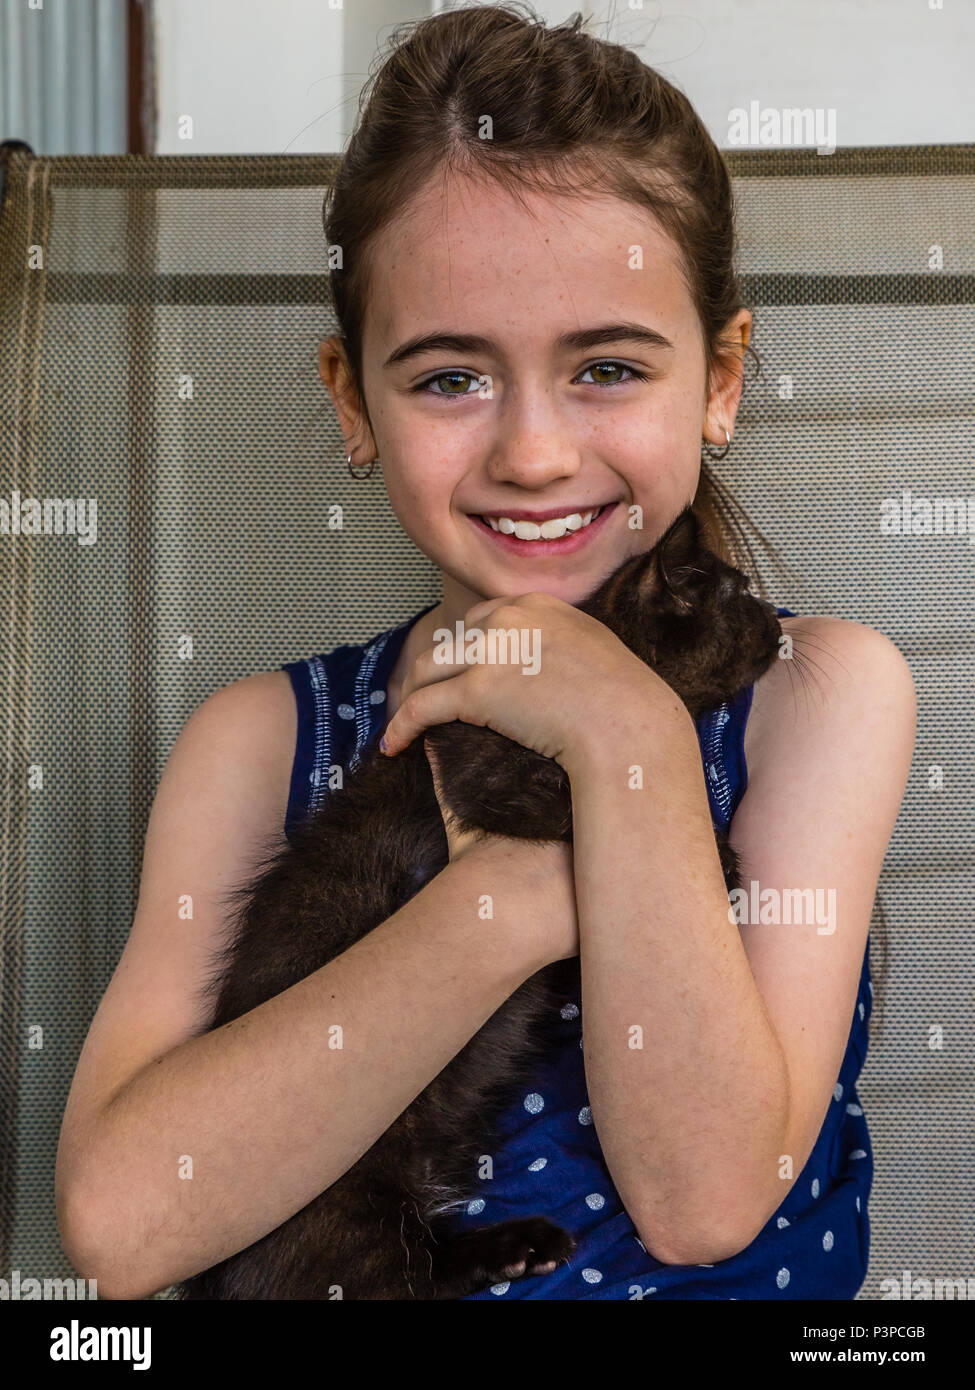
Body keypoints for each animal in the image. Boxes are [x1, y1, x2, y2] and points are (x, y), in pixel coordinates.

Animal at [176, 508, 784, 1301]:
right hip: (343, 1189)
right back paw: (513, 1248)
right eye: (737, 595)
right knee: (384, 1277)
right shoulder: (486, 771)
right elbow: (587, 788)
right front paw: (721, 858)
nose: (778, 624)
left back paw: (514, 1248)